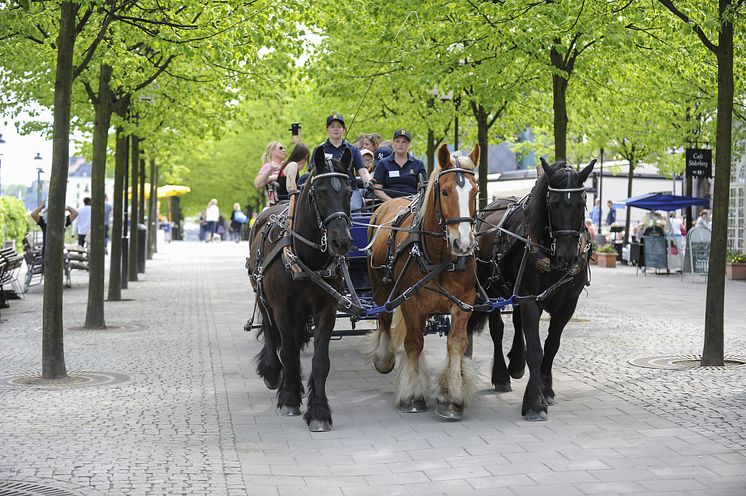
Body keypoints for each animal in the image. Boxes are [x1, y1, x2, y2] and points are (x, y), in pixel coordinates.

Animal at [246, 144, 354, 430]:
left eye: (350, 192)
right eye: (320, 192)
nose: (341, 241)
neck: (307, 256)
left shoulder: (327, 308)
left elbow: (321, 360)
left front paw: (318, 411)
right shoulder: (282, 307)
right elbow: (289, 351)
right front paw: (289, 399)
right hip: (263, 297)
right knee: (272, 334)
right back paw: (273, 373)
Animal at [364, 142, 476, 418]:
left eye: (476, 192)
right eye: (445, 192)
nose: (463, 244)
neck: (437, 257)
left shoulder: (464, 303)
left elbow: (456, 343)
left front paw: (452, 396)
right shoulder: (410, 301)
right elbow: (414, 343)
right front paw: (413, 395)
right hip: (382, 289)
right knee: (384, 319)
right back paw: (385, 358)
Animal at [468, 157, 596, 420]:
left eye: (581, 203)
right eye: (553, 204)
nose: (567, 257)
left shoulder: (568, 304)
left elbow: (552, 345)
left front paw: (546, 389)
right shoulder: (528, 299)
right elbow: (536, 349)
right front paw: (534, 403)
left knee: (517, 322)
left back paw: (516, 363)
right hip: (491, 290)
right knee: (497, 329)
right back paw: (502, 375)